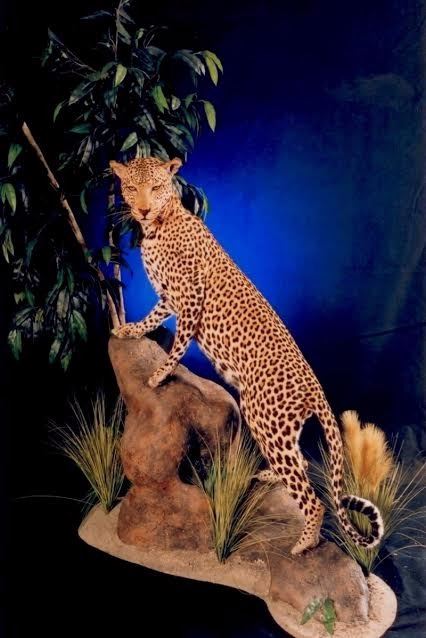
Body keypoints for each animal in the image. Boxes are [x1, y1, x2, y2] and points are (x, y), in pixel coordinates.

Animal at [110, 156, 384, 555]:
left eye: (157, 187)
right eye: (131, 188)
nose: (143, 208)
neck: (159, 224)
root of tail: (315, 389)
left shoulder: (190, 296)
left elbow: (180, 342)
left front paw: (160, 373)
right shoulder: (169, 296)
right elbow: (152, 317)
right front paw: (130, 330)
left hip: (263, 419)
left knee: (311, 496)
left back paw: (304, 543)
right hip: (282, 430)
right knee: (301, 463)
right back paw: (270, 477)